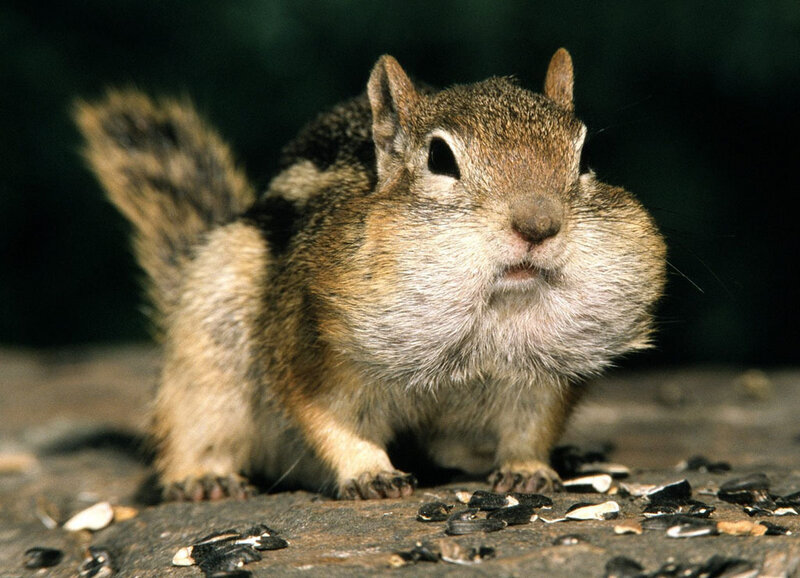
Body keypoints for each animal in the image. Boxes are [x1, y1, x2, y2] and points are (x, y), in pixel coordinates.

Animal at [74, 49, 666, 501]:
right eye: (440, 159)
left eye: (584, 157)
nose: (538, 225)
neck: (492, 309)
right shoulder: (310, 351)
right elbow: (331, 418)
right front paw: (369, 473)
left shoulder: (542, 376)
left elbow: (531, 424)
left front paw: (529, 468)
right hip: (207, 347)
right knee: (193, 426)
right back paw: (203, 478)